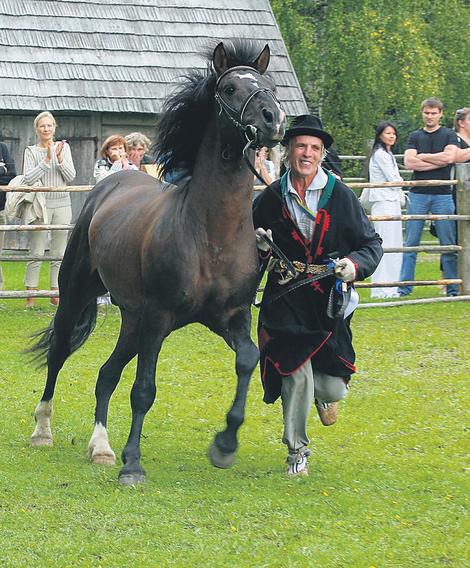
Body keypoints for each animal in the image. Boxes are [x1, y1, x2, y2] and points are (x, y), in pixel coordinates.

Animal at [30, 40, 286, 484]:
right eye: (230, 88)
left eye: (268, 86)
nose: (273, 120)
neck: (210, 234)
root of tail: (111, 183)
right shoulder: (160, 317)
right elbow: (144, 390)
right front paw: (133, 465)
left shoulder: (230, 317)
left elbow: (248, 359)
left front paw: (224, 445)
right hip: (81, 296)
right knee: (60, 351)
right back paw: (43, 431)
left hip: (133, 320)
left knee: (106, 374)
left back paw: (101, 448)